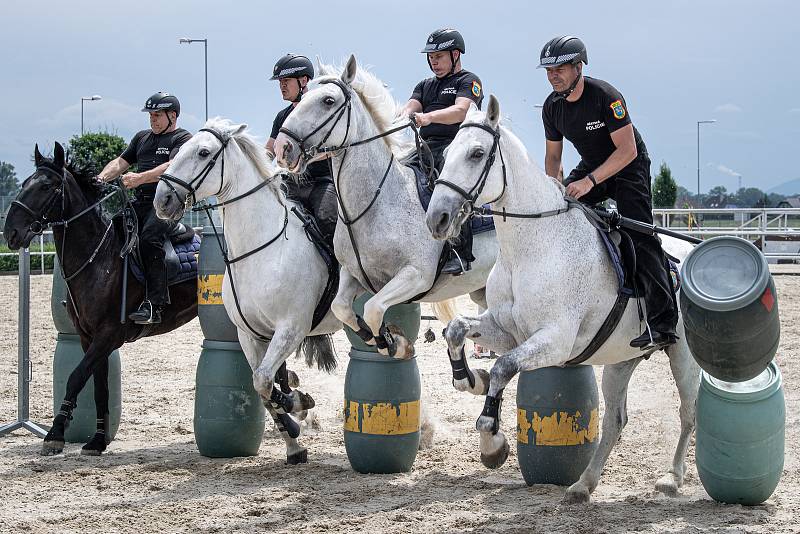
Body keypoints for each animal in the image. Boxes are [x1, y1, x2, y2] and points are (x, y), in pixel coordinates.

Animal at [3, 144, 197, 458]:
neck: (100, 257)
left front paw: (55, 434)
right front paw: (96, 440)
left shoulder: (108, 335)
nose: (12, 233)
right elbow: (98, 388)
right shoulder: (89, 338)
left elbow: (76, 377)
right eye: (23, 184)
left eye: (46, 186)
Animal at [155, 120, 340, 464]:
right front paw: (294, 443)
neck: (262, 248)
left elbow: (265, 380)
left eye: (203, 152)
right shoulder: (250, 335)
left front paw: (297, 405)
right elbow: (262, 386)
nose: (162, 200)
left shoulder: (291, 329)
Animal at [276, 55, 496, 360]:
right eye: (303, 97)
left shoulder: (415, 276)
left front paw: (393, 343)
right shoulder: (353, 275)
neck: (376, 205)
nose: (282, 148)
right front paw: (377, 339)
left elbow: (373, 308)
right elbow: (342, 309)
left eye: (328, 101)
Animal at [424, 97, 700, 506]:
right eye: (444, 156)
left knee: (687, 413)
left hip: (683, 356)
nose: (437, 219)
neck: (532, 247)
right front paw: (471, 379)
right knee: (616, 420)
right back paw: (583, 485)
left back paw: (671, 478)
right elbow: (456, 331)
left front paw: (492, 442)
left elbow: (504, 368)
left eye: (476, 153)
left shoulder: (555, 341)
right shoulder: (506, 329)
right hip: (622, 359)